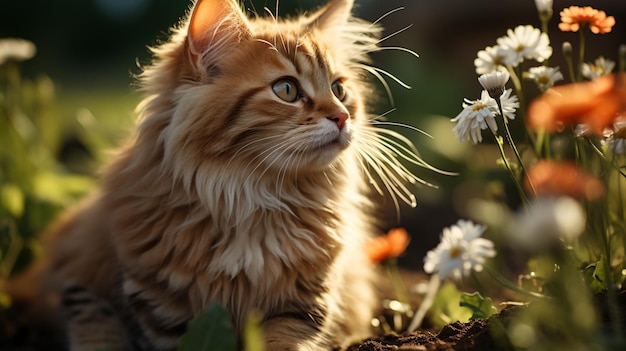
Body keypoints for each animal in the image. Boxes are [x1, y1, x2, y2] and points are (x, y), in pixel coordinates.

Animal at [42, 0, 424, 350]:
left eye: (339, 89)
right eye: (286, 89)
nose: (342, 117)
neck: (250, 197)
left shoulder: (300, 308)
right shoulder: (161, 311)